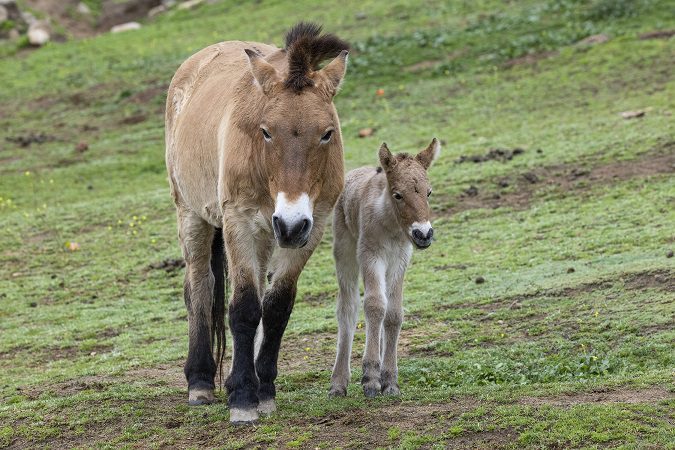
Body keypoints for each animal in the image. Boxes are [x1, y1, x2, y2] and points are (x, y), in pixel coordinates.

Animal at [165, 22, 349, 424]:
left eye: (327, 132)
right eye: (266, 131)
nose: (290, 224)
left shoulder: (313, 226)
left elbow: (276, 308)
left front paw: (264, 390)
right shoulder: (240, 223)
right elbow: (245, 308)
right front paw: (243, 399)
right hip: (192, 215)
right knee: (199, 288)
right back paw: (200, 382)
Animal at [329, 139, 440, 397]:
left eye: (428, 192)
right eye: (397, 194)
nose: (423, 234)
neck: (391, 226)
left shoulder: (400, 259)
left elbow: (393, 313)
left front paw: (389, 380)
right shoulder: (370, 255)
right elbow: (374, 305)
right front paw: (370, 378)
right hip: (345, 251)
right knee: (348, 308)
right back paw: (339, 383)